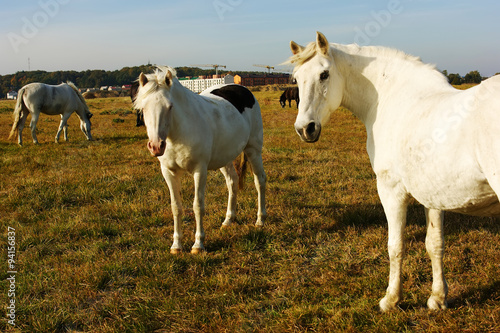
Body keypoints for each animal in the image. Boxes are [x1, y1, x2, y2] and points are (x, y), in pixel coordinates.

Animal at [132, 67, 266, 254]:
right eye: (143, 108)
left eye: (170, 106)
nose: (156, 146)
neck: (179, 132)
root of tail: (244, 90)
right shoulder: (168, 172)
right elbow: (176, 207)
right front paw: (176, 245)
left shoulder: (199, 170)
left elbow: (197, 206)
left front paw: (198, 244)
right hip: (224, 158)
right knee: (232, 181)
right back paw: (228, 220)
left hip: (253, 150)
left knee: (259, 180)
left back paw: (260, 220)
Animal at [288, 31, 500, 312]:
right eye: (296, 78)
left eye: (324, 74)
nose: (305, 129)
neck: (398, 100)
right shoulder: (431, 194)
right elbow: (434, 244)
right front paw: (437, 298)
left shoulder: (391, 190)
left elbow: (396, 246)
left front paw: (391, 299)